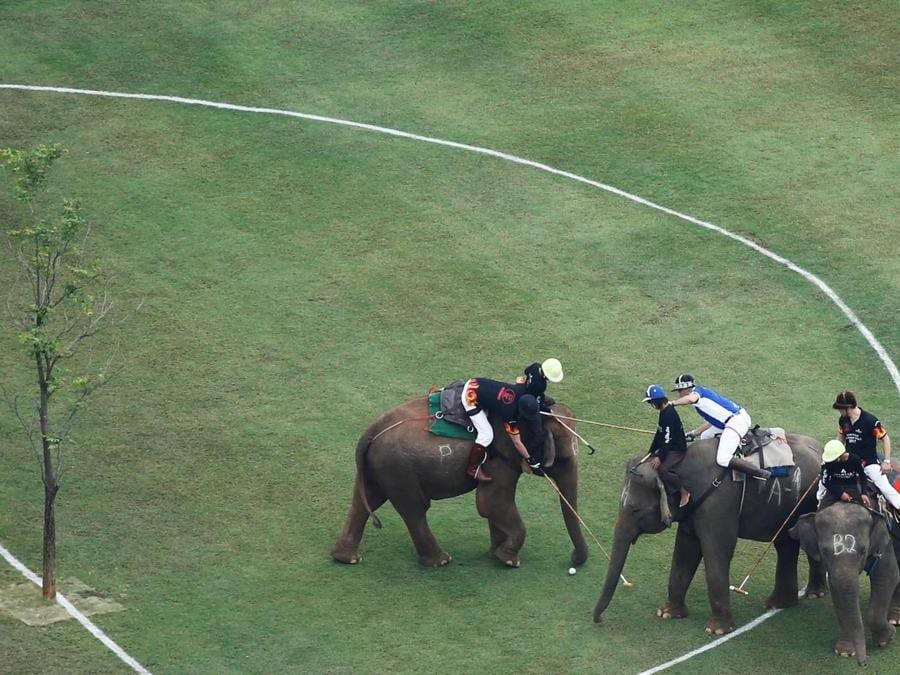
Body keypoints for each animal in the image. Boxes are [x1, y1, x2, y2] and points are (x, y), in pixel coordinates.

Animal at [331, 397, 588, 568]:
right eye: (564, 458)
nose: (573, 560)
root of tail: (369, 433)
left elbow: (492, 507)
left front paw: (494, 554)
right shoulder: (497, 457)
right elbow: (491, 503)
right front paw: (509, 560)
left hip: (379, 469)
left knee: (366, 501)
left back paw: (347, 558)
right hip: (398, 470)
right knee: (414, 511)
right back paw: (441, 561)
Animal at [593, 433, 827, 634]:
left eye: (634, 509)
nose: (599, 620)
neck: (676, 464)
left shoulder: (718, 502)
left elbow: (718, 550)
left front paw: (716, 630)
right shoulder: (692, 511)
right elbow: (685, 550)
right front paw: (667, 613)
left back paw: (796, 599)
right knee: (787, 545)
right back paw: (786, 601)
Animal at [789, 502, 900, 665]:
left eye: (863, 551)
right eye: (824, 551)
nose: (862, 663)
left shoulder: (885, 542)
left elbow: (887, 577)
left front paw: (887, 638)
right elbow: (837, 587)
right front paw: (845, 652)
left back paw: (894, 620)